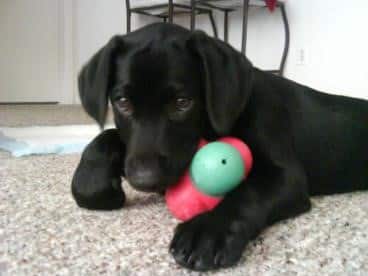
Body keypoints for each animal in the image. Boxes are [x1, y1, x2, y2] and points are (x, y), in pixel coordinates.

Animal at [72, 22, 368, 270]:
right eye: (122, 102)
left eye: (182, 103)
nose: (146, 180)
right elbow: (105, 139)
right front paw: (93, 181)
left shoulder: (286, 174)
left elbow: (249, 192)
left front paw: (207, 231)